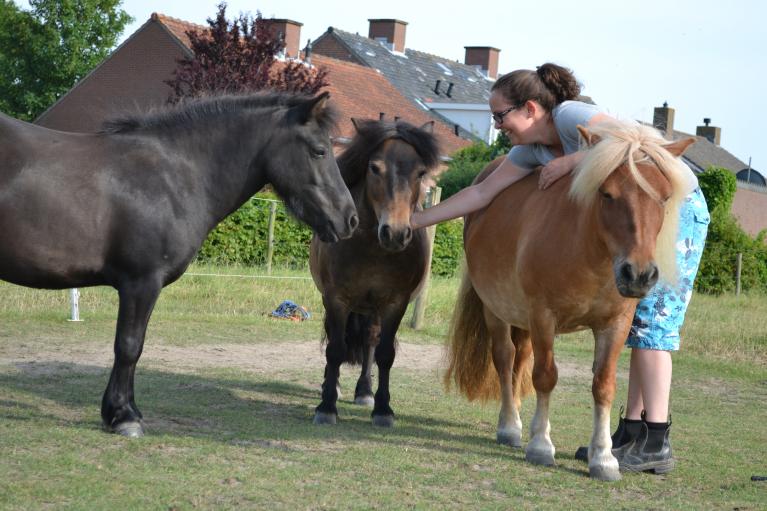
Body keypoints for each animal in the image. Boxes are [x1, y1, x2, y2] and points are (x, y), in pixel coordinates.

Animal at [0, 91, 358, 437]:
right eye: (319, 151)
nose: (350, 219)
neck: (174, 178)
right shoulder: (141, 283)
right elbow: (129, 347)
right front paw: (123, 417)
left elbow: (135, 346)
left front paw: (124, 410)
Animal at [309, 119, 440, 427]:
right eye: (374, 167)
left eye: (421, 172)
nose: (395, 233)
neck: (371, 249)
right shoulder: (336, 299)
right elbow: (335, 349)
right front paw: (326, 406)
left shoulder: (395, 303)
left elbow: (384, 353)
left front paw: (382, 409)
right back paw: (332, 387)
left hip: (372, 310)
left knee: (369, 340)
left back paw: (364, 391)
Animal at [444, 121, 695, 480]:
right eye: (607, 194)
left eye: (664, 198)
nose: (638, 274)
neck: (589, 254)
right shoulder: (543, 316)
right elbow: (545, 377)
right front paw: (541, 446)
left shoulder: (614, 325)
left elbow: (603, 385)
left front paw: (603, 458)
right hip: (498, 311)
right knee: (506, 359)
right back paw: (510, 426)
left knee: (520, 360)